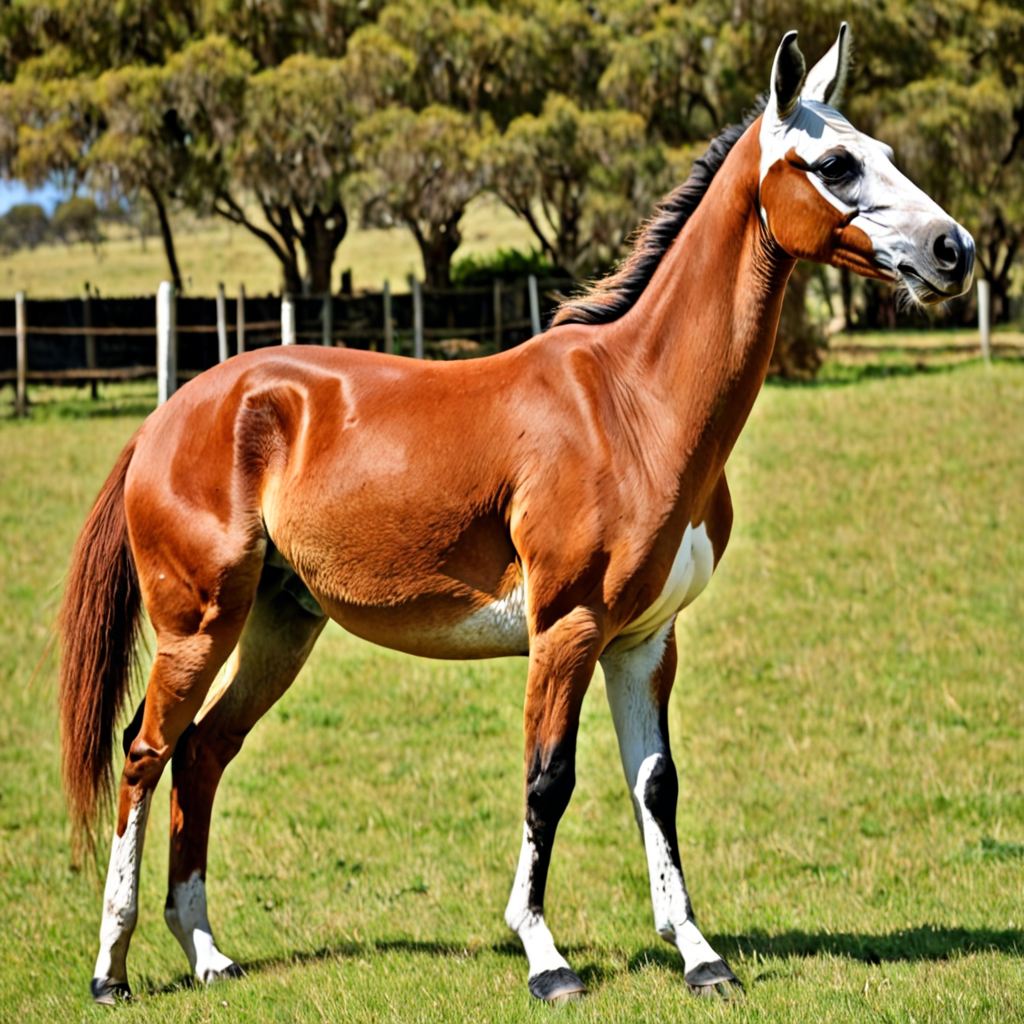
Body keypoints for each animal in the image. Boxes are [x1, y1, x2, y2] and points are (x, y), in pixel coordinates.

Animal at [59, 24, 974, 1005]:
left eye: (886, 152)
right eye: (836, 163)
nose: (953, 249)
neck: (634, 403)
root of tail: (173, 414)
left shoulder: (644, 641)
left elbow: (656, 785)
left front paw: (698, 954)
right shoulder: (566, 629)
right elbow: (548, 780)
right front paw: (546, 958)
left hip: (278, 626)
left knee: (202, 755)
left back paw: (208, 954)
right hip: (198, 627)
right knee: (145, 754)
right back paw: (110, 971)